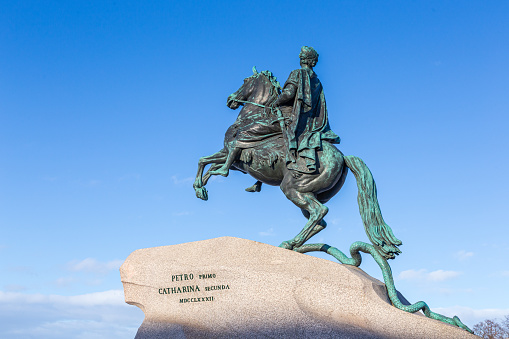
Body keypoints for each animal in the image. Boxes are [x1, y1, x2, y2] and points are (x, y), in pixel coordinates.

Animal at [192, 68, 402, 260]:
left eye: (245, 81)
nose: (231, 100)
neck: (252, 117)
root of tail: (342, 157)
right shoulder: (234, 160)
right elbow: (207, 165)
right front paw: (201, 189)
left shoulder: (232, 150)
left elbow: (208, 162)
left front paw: (204, 182)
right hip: (308, 193)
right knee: (319, 221)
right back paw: (293, 244)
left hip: (293, 188)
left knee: (319, 212)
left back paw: (290, 243)